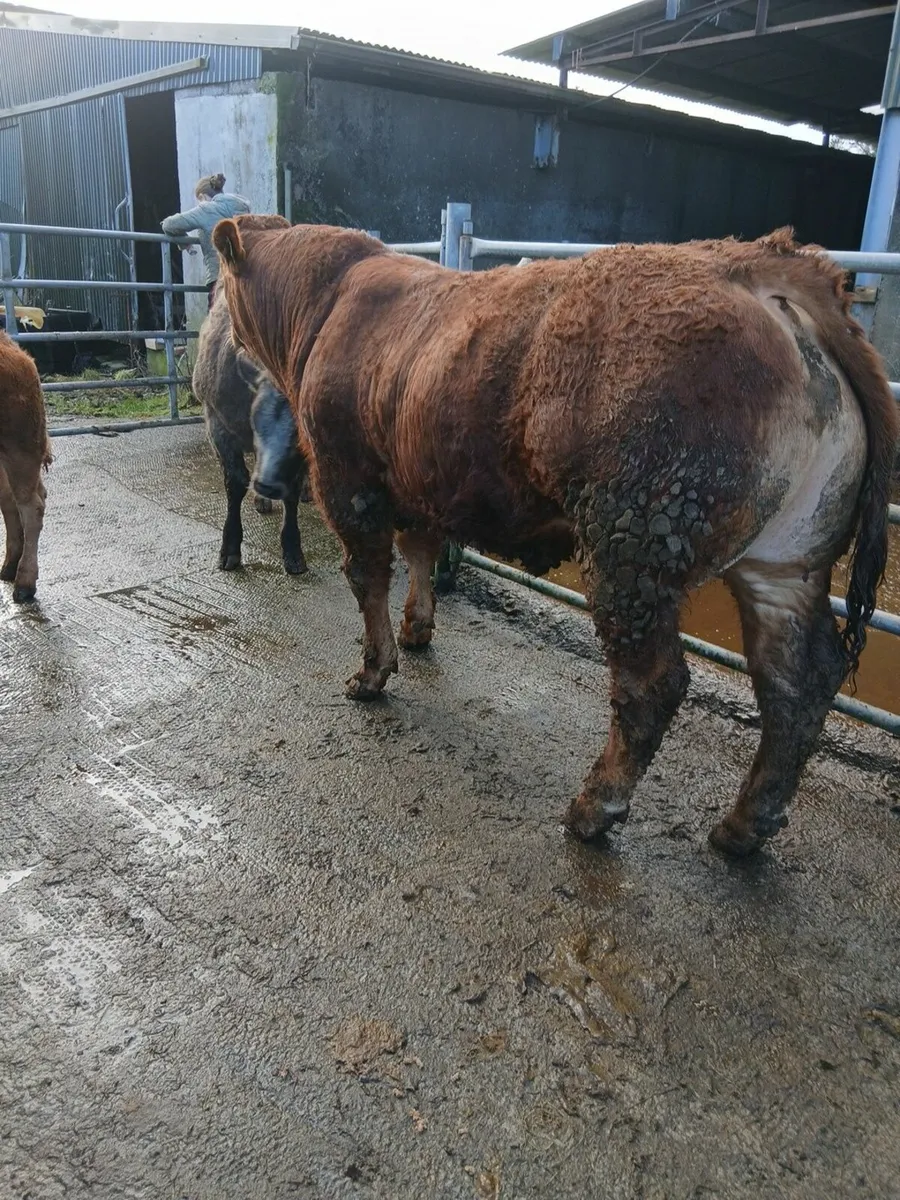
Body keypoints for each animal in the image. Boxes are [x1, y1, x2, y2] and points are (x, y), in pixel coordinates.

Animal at [191, 290, 308, 575]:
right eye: (255, 421)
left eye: (300, 432)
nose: (267, 485)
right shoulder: (218, 425)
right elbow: (235, 483)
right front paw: (230, 548)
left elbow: (292, 490)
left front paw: (293, 550)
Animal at [212, 215, 899, 859]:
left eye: (220, 280)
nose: (218, 333)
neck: (328, 301)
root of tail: (757, 266)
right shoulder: (419, 479)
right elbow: (421, 552)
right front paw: (418, 630)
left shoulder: (346, 477)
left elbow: (368, 577)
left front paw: (373, 671)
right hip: (787, 561)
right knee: (797, 682)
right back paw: (743, 826)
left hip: (634, 544)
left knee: (654, 685)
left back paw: (594, 809)